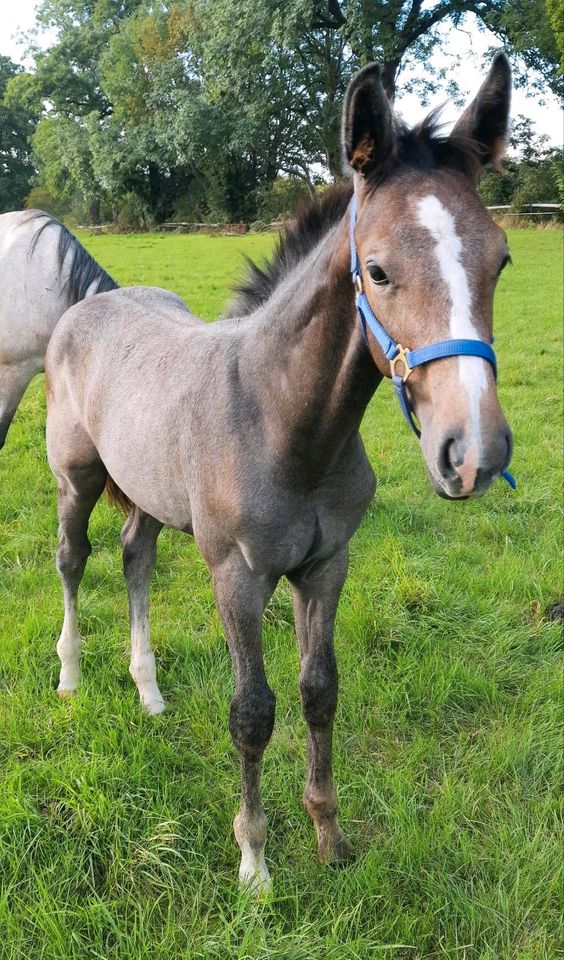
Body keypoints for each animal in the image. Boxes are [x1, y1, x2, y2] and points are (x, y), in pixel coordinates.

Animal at [46, 52, 516, 892]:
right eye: (378, 270)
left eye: (500, 258)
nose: (475, 453)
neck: (284, 425)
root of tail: (92, 303)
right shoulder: (237, 574)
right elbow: (253, 711)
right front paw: (255, 863)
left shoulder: (327, 566)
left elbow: (319, 691)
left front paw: (330, 837)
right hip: (78, 475)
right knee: (74, 558)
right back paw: (70, 677)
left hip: (148, 492)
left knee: (135, 559)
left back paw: (149, 691)